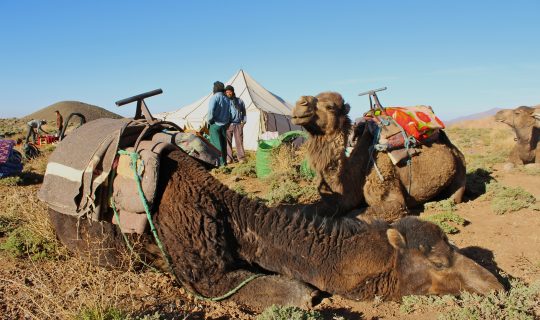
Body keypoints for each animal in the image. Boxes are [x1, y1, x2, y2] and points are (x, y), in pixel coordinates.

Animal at [294, 92, 466, 221]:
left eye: (330, 107)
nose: (300, 103)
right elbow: (308, 210)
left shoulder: (391, 198)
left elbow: (355, 215)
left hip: (460, 168)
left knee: (455, 195)